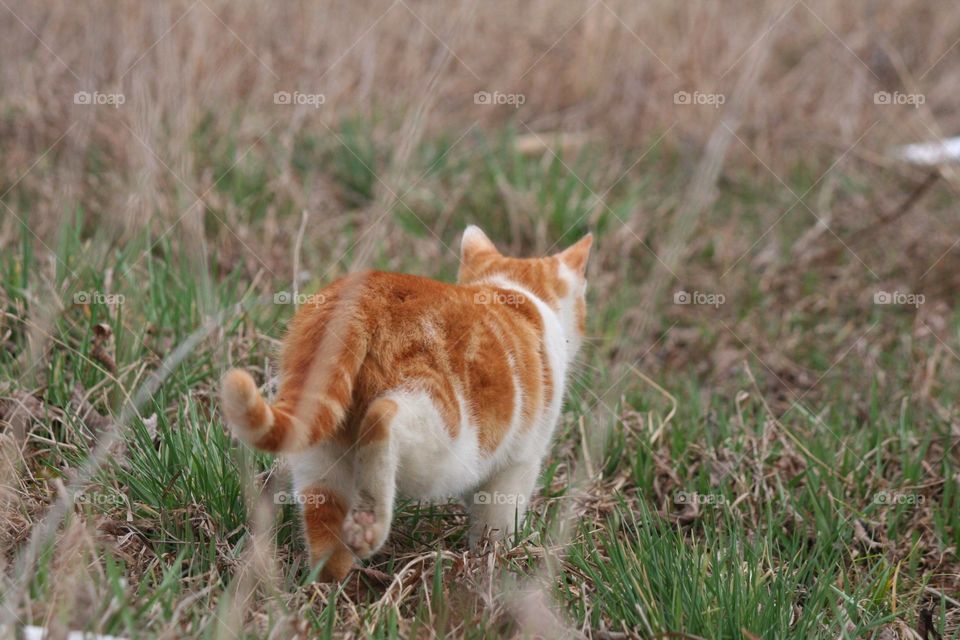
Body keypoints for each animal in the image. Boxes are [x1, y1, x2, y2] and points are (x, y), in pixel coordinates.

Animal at [220, 228, 588, 584]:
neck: (511, 288)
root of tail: (367, 291)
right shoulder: (520, 462)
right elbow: (497, 521)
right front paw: (497, 560)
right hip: (445, 444)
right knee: (384, 420)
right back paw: (372, 523)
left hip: (321, 451)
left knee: (325, 528)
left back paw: (331, 586)